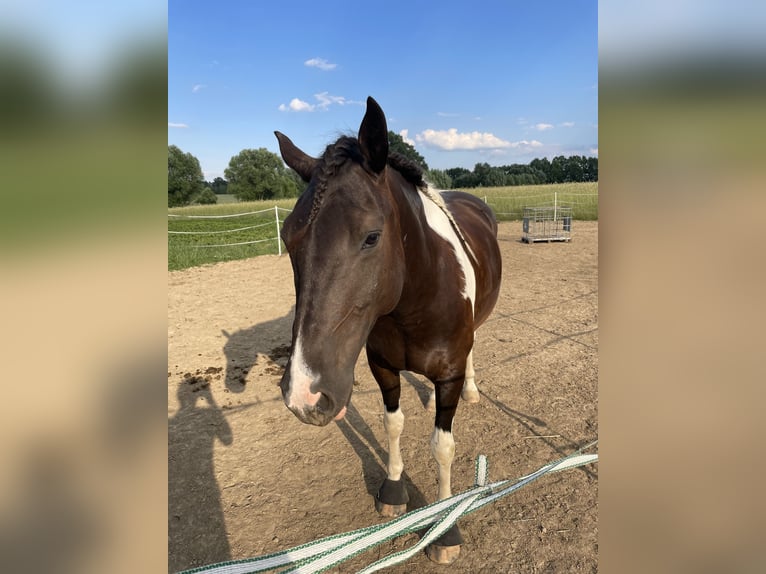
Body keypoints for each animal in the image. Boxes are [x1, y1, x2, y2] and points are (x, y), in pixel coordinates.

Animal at [274, 97, 502, 564]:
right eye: (288, 237)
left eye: (371, 237)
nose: (304, 394)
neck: (415, 300)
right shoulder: (382, 366)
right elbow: (392, 425)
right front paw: (395, 491)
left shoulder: (449, 372)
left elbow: (442, 447)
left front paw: (444, 528)